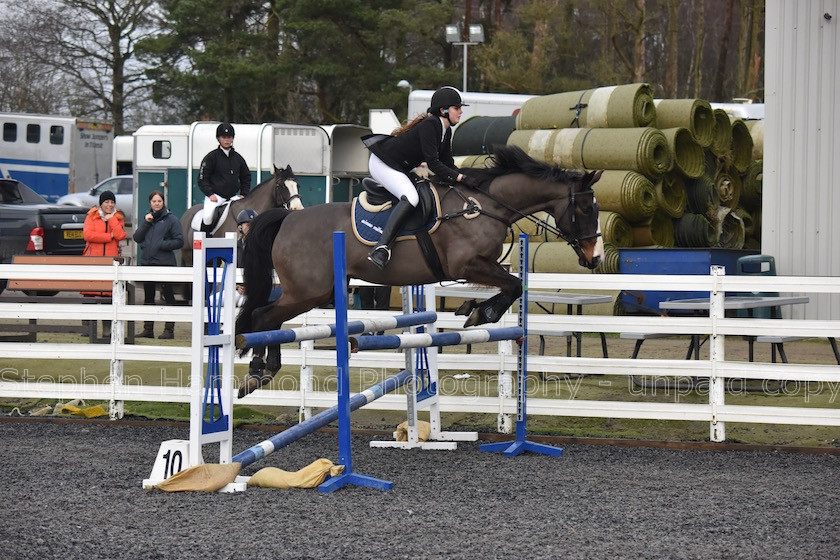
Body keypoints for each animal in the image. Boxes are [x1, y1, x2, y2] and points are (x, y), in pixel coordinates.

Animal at [236, 147, 600, 396]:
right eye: (585, 209)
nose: (594, 258)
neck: (484, 206)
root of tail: (288, 218)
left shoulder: (479, 266)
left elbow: (514, 284)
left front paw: (476, 310)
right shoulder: (467, 265)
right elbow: (513, 283)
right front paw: (482, 314)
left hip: (314, 291)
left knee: (269, 317)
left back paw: (265, 370)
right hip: (309, 290)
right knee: (264, 316)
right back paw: (257, 372)